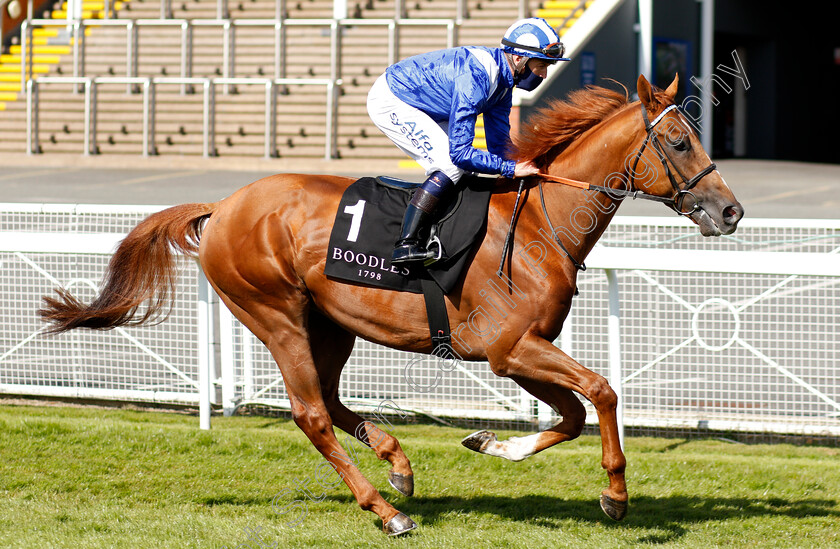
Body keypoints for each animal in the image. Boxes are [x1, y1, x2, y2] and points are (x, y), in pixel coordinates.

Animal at [39, 75, 740, 532]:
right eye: (680, 142)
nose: (730, 211)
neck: (542, 221)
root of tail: (224, 206)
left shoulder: (516, 353)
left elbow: (569, 415)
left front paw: (491, 445)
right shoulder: (510, 348)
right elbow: (601, 393)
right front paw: (616, 496)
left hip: (330, 324)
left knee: (328, 401)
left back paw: (397, 464)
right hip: (275, 314)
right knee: (311, 415)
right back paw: (386, 509)